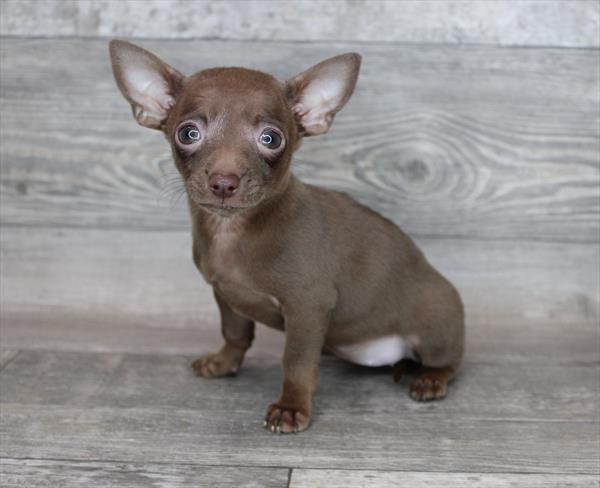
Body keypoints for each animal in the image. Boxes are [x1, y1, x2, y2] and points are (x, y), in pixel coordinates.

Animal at [109, 39, 464, 434]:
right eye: (188, 134)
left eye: (270, 138)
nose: (224, 181)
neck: (233, 232)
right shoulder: (225, 295)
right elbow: (235, 333)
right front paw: (224, 363)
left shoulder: (307, 308)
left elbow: (296, 362)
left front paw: (292, 406)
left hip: (435, 326)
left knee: (450, 360)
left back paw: (431, 379)